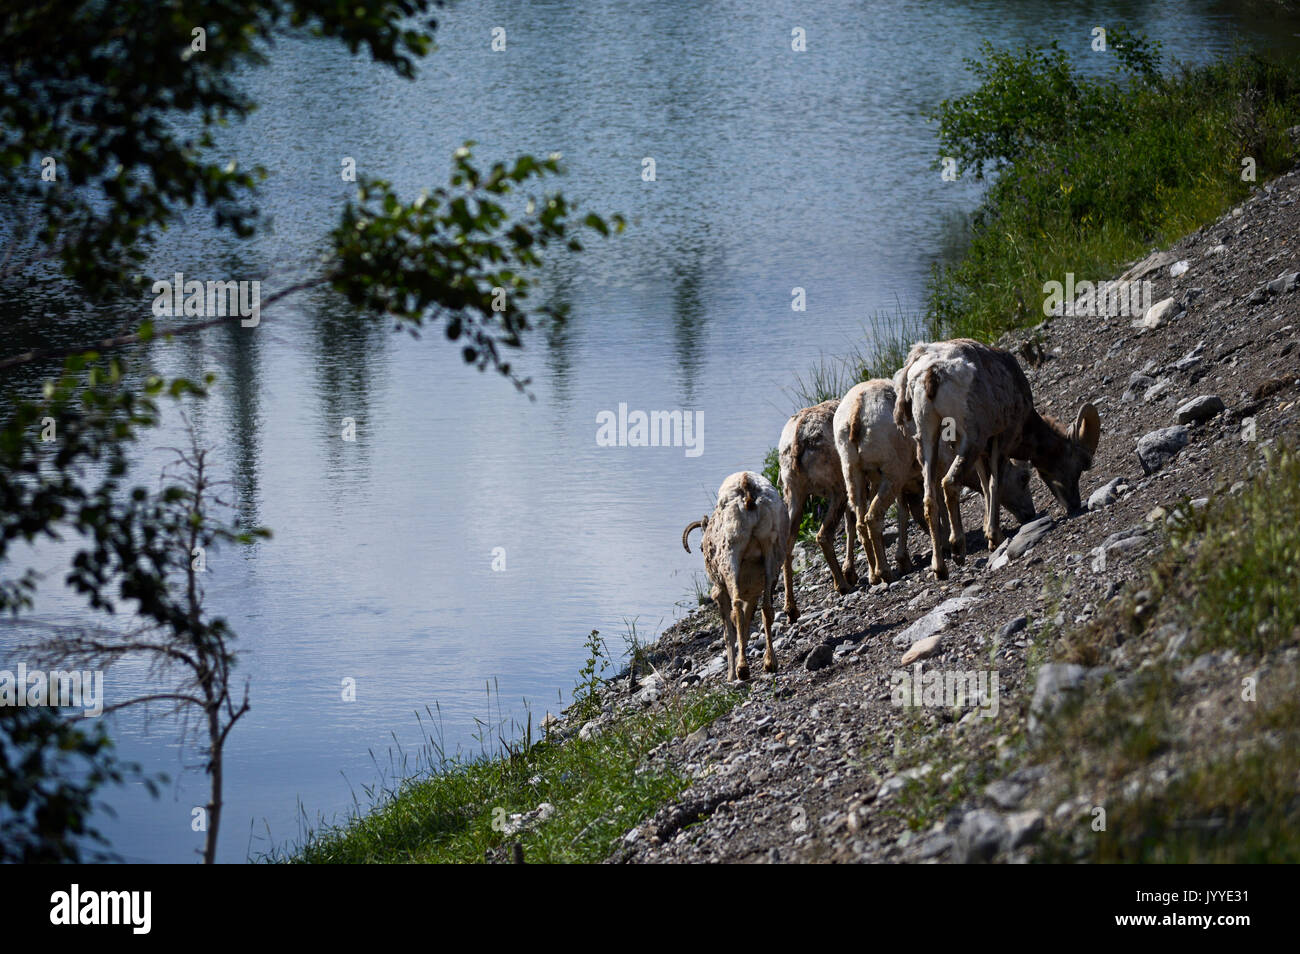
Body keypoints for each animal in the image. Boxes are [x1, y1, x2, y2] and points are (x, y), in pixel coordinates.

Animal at [686, 467, 785, 681]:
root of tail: (748, 490)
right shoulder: (754, 593)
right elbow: (746, 627)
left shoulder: (720, 593)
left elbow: (729, 633)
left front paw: (730, 675)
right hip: (771, 554)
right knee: (767, 608)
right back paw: (770, 663)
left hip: (731, 556)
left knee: (737, 607)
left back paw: (742, 670)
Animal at [837, 376, 1040, 587]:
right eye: (1024, 478)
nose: (1030, 514)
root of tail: (856, 412)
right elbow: (962, 493)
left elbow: (905, 512)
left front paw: (906, 558)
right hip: (892, 472)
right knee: (872, 517)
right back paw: (885, 573)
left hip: (854, 475)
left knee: (860, 523)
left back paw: (873, 576)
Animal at [899, 343, 1102, 582]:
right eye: (1078, 465)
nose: (1074, 504)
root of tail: (930, 373)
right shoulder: (1001, 440)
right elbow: (995, 484)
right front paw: (994, 538)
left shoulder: (979, 452)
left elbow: (985, 487)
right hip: (971, 439)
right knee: (949, 483)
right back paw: (958, 551)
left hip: (927, 439)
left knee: (930, 499)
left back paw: (940, 569)